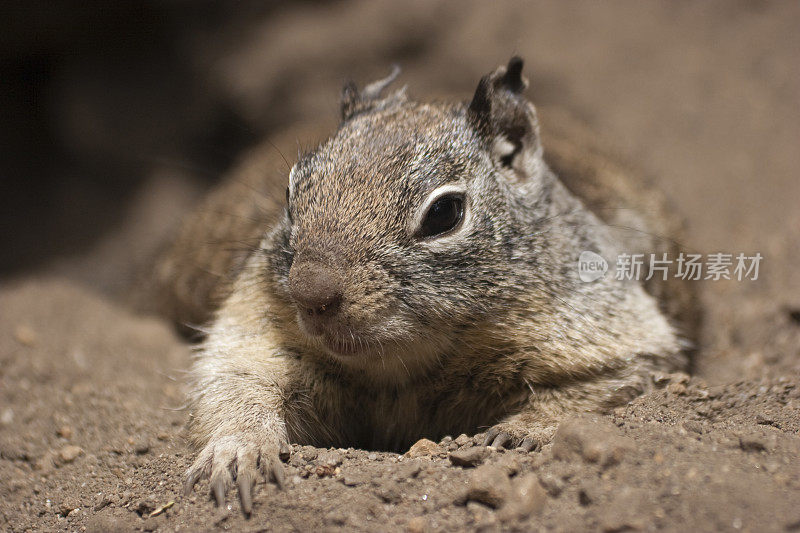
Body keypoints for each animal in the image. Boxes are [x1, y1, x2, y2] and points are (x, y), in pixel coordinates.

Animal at [167, 57, 692, 512]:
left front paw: (520, 431)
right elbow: (235, 386)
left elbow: (596, 387)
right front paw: (240, 453)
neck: (403, 368)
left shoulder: (614, 334)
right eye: (291, 192)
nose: (309, 294)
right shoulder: (251, 330)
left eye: (444, 213)